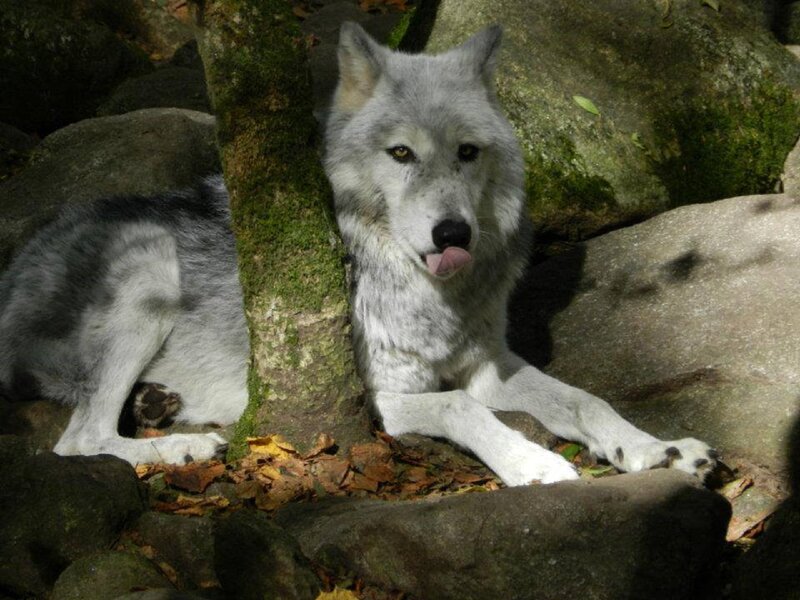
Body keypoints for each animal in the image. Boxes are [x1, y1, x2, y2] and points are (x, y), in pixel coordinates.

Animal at [0, 23, 716, 484]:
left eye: (467, 152)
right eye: (401, 153)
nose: (453, 234)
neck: (425, 294)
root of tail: (16, 262)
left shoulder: (490, 365)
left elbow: (586, 401)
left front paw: (656, 449)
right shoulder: (380, 398)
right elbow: (462, 408)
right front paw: (534, 464)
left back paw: (159, 408)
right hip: (151, 262)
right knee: (79, 441)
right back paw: (179, 449)